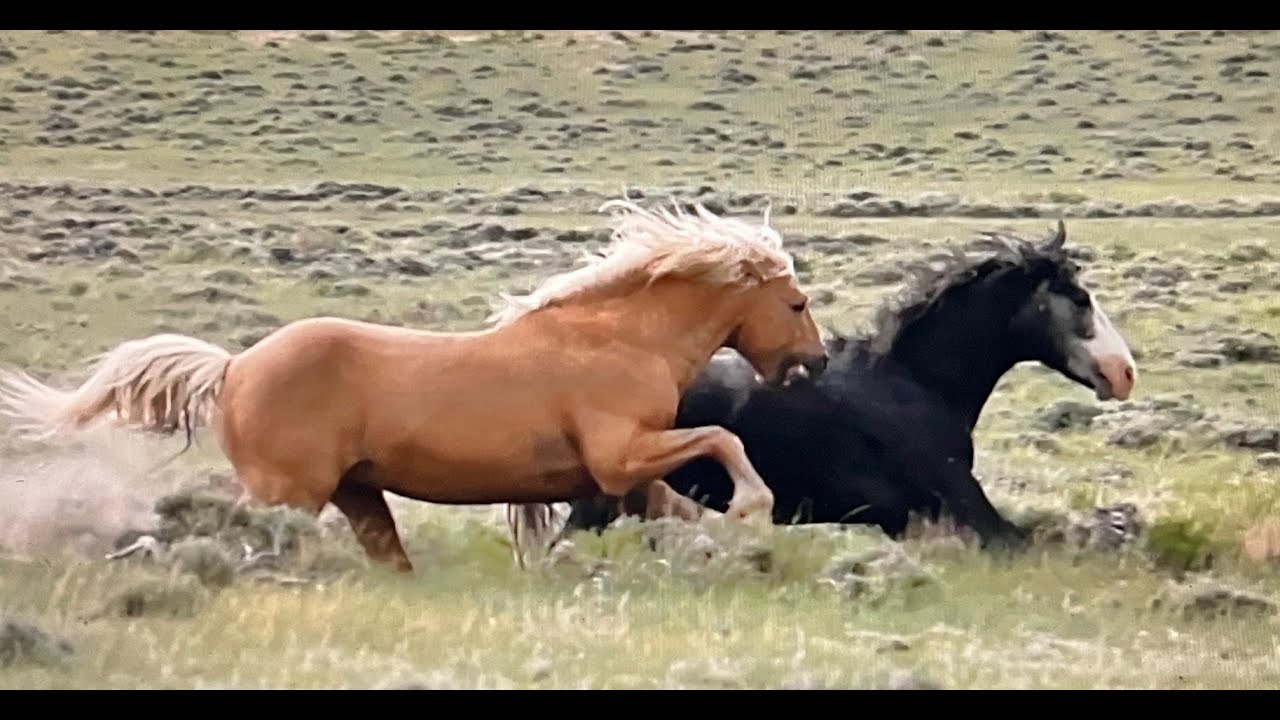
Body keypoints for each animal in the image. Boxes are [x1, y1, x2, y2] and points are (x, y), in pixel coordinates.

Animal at [0, 197, 830, 573]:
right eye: (795, 303)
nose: (816, 362)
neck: (619, 338)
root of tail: (234, 366)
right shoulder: (622, 452)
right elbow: (721, 439)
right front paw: (754, 509)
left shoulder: (622, 474)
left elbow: (676, 504)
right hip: (287, 491)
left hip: (357, 495)